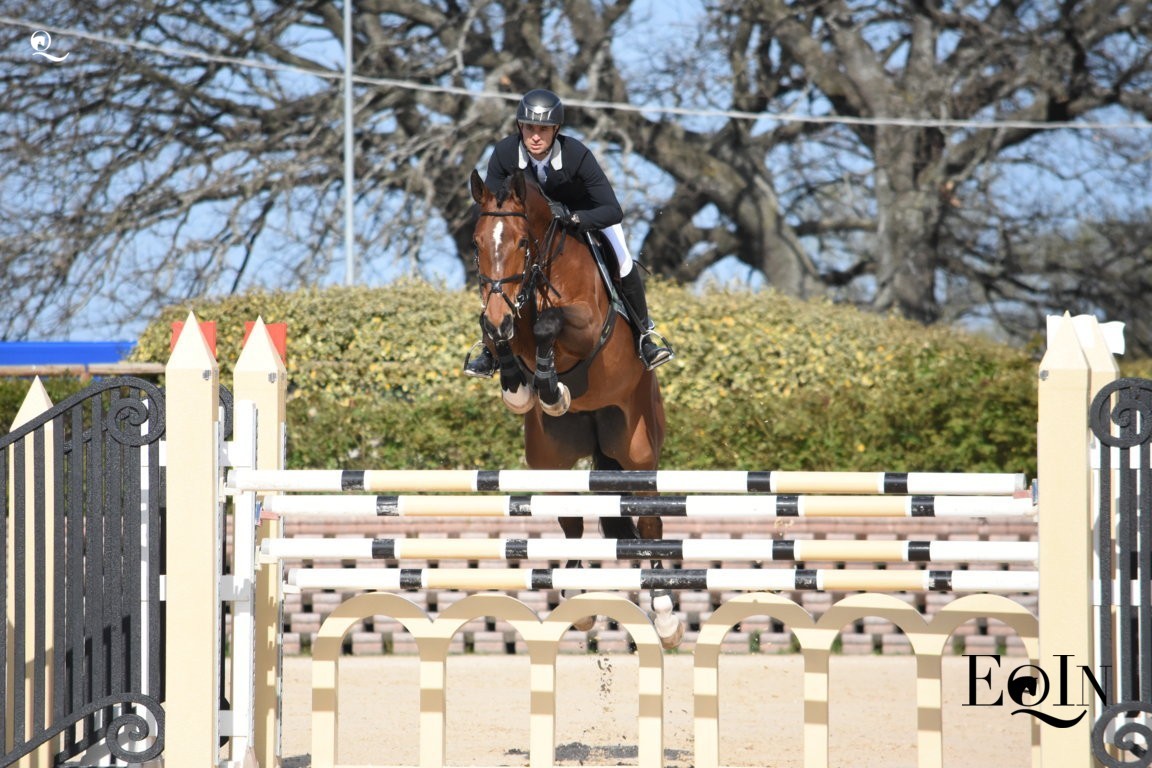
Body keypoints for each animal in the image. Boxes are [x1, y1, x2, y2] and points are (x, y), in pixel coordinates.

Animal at [468, 167, 683, 649]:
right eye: (475, 243)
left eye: (522, 243)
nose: (499, 315)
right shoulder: (506, 317)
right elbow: (507, 337)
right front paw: (520, 385)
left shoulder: (584, 323)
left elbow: (548, 324)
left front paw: (547, 384)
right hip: (550, 458)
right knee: (570, 522)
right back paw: (576, 599)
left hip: (637, 449)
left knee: (650, 525)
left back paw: (664, 615)